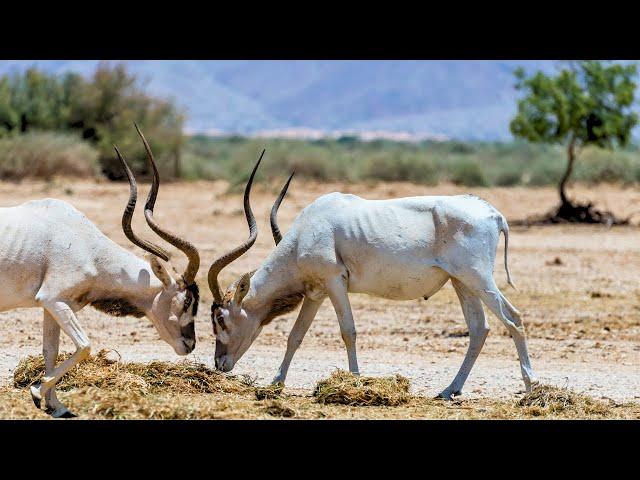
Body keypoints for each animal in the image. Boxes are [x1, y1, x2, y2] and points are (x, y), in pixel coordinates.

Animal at [0, 125, 200, 418]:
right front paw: (36, 393)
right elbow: (85, 345)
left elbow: (51, 351)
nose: (190, 344)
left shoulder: (52, 305)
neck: (88, 246)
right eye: (187, 301)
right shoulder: (53, 299)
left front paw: (56, 405)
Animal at [209, 159, 536, 400]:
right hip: (462, 282)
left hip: (478, 278)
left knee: (513, 317)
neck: (306, 231)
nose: (219, 364)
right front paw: (276, 383)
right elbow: (295, 336)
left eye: (220, 319)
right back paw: (448, 390)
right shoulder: (316, 293)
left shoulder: (335, 282)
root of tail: (493, 214)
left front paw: (353, 381)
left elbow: (348, 331)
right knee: (479, 328)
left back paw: (530, 387)